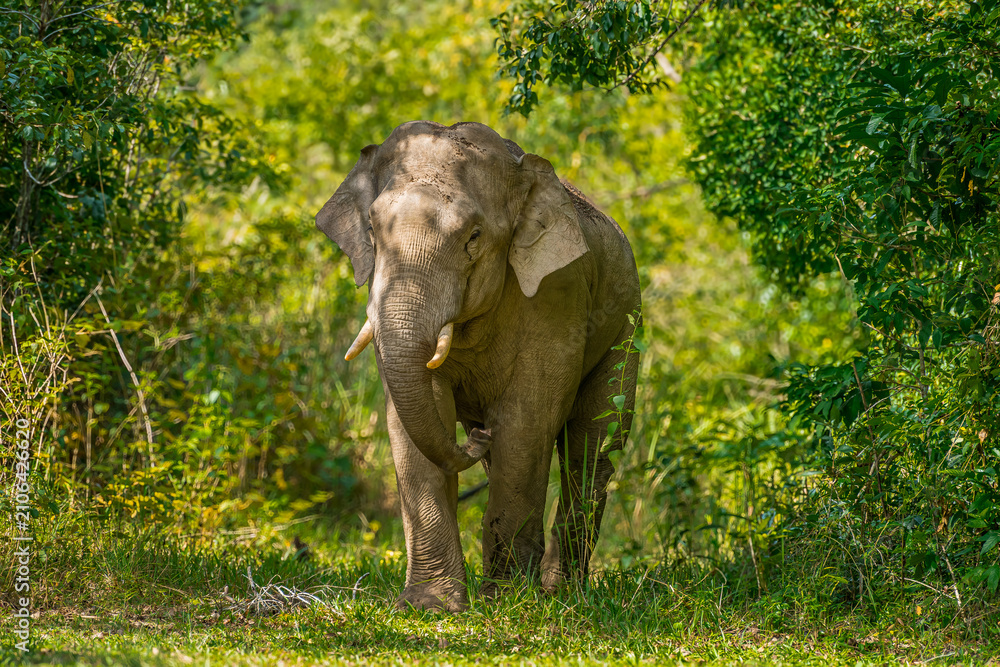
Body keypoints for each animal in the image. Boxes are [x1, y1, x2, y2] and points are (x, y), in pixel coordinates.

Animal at [316, 121, 640, 612]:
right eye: (371, 229)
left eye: (473, 236)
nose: (478, 436)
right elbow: (414, 420)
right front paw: (429, 605)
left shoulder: (557, 294)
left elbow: (526, 423)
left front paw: (506, 599)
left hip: (627, 329)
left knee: (592, 447)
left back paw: (561, 591)